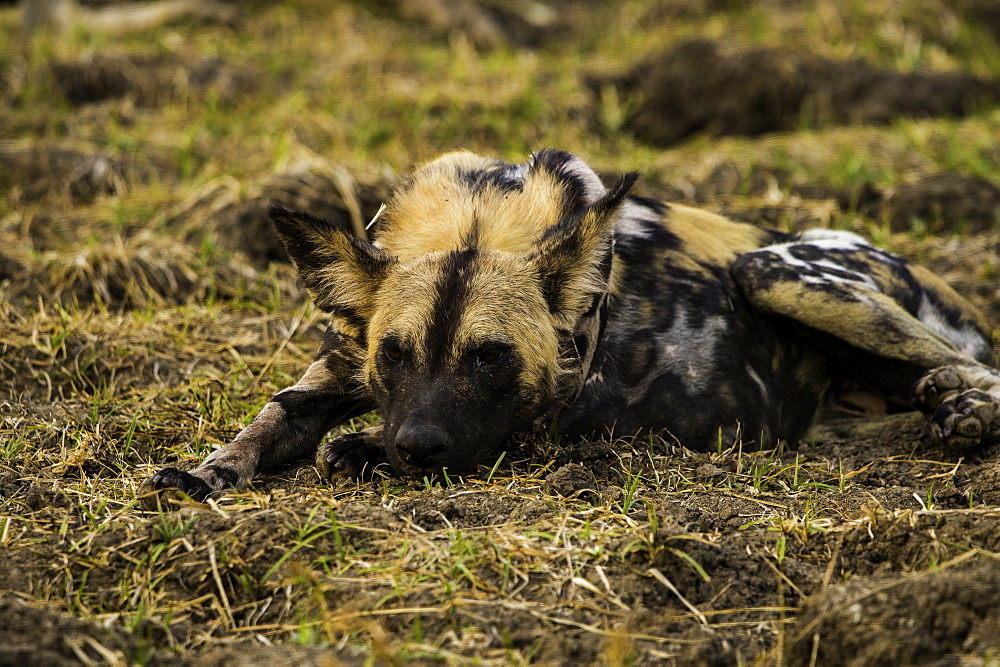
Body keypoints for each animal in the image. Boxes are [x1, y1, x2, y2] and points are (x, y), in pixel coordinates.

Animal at [141, 149, 1000, 504]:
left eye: (491, 358)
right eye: (395, 353)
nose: (416, 446)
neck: (477, 221)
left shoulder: (586, 421)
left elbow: (500, 431)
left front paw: (361, 450)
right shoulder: (341, 364)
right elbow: (270, 419)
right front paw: (207, 472)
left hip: (777, 272)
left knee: (978, 370)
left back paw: (966, 409)